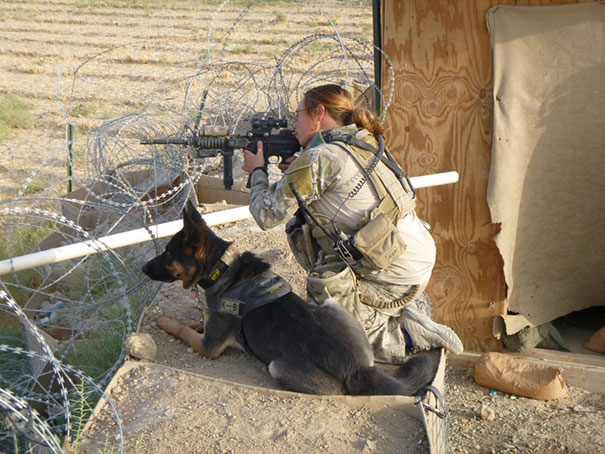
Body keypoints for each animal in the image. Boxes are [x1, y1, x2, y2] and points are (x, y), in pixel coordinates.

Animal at [142, 200, 438, 396]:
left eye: (167, 254)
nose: (143, 268)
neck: (221, 268)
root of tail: (357, 368)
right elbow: (195, 322)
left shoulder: (209, 346)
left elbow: (184, 330)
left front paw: (165, 322)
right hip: (331, 306)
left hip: (278, 367)